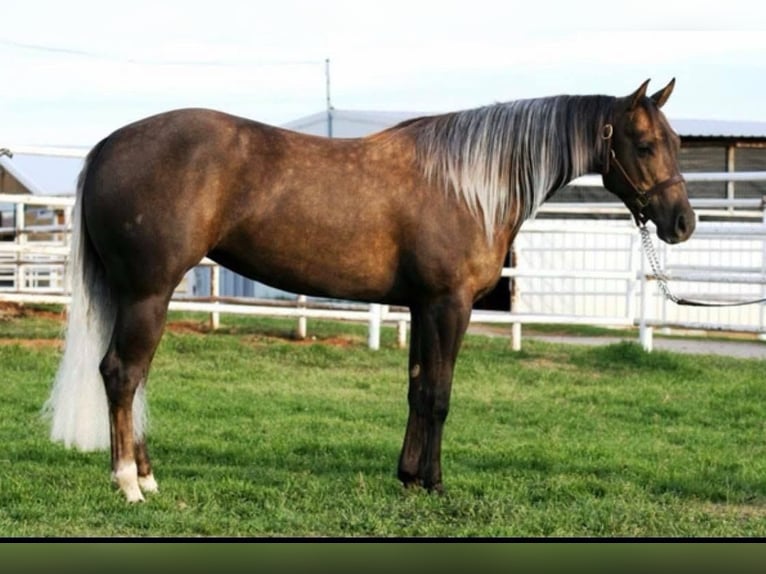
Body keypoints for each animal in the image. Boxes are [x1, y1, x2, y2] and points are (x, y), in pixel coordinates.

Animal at [44, 79, 694, 502]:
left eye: (677, 143)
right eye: (643, 145)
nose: (682, 223)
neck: (468, 183)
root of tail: (107, 146)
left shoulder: (421, 308)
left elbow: (416, 392)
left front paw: (407, 477)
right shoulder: (448, 305)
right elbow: (439, 395)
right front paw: (433, 485)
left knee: (134, 378)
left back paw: (147, 477)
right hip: (148, 293)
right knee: (122, 374)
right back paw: (128, 484)